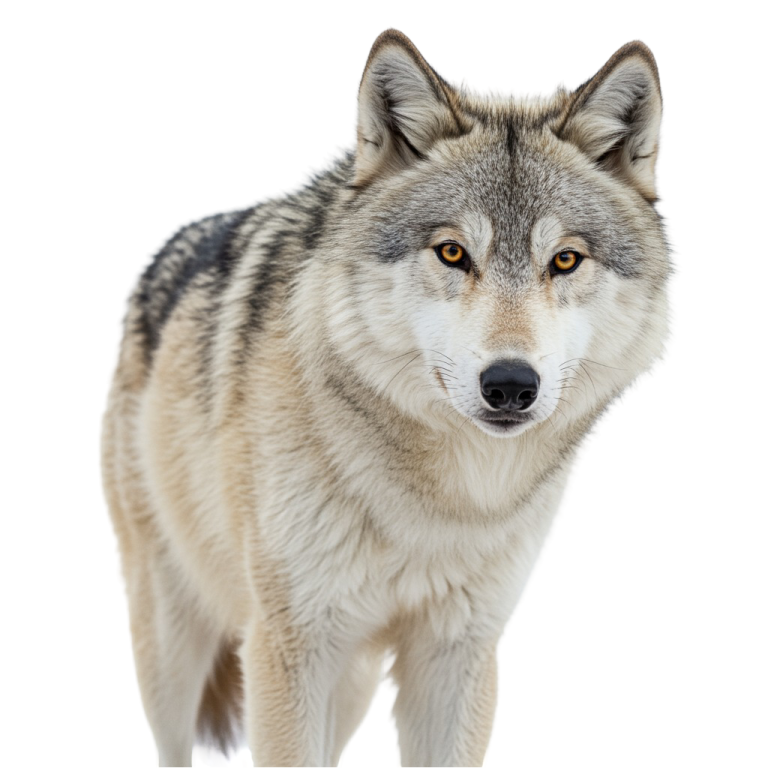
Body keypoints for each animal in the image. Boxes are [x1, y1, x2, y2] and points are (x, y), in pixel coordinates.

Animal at [98, 27, 679, 768]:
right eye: (453, 252)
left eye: (566, 261)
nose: (510, 385)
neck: (436, 507)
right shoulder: (289, 648)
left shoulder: (458, 654)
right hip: (175, 641)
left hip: (349, 680)